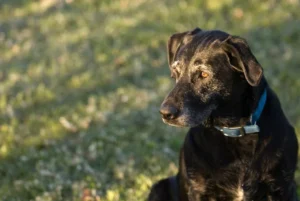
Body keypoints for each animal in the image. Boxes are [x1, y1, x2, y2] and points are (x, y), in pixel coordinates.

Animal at [147, 27, 298, 200]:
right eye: (175, 72)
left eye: (204, 74)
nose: (165, 113)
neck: (235, 131)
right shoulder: (199, 189)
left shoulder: (282, 187)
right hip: (159, 187)